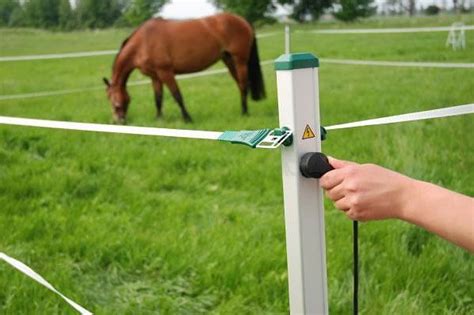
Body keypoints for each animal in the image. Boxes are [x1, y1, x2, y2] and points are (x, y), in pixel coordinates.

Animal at [103, 13, 264, 124]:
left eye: (115, 103)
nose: (118, 121)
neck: (143, 42)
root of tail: (242, 21)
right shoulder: (155, 77)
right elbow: (158, 98)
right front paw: (159, 119)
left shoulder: (166, 72)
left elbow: (177, 96)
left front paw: (188, 119)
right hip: (229, 60)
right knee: (241, 85)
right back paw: (243, 110)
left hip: (240, 61)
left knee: (243, 85)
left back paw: (244, 113)